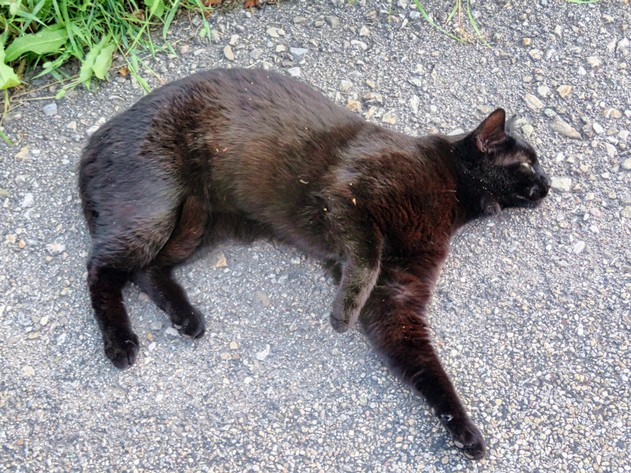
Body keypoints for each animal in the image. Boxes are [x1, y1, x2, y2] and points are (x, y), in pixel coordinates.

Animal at [79, 68, 550, 459]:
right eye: (528, 163)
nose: (550, 183)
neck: (450, 193)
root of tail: (95, 139)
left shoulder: (396, 297)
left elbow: (426, 367)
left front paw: (464, 429)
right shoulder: (350, 197)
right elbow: (367, 254)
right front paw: (343, 312)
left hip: (200, 225)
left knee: (146, 270)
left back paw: (186, 318)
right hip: (155, 210)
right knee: (101, 269)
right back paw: (120, 343)